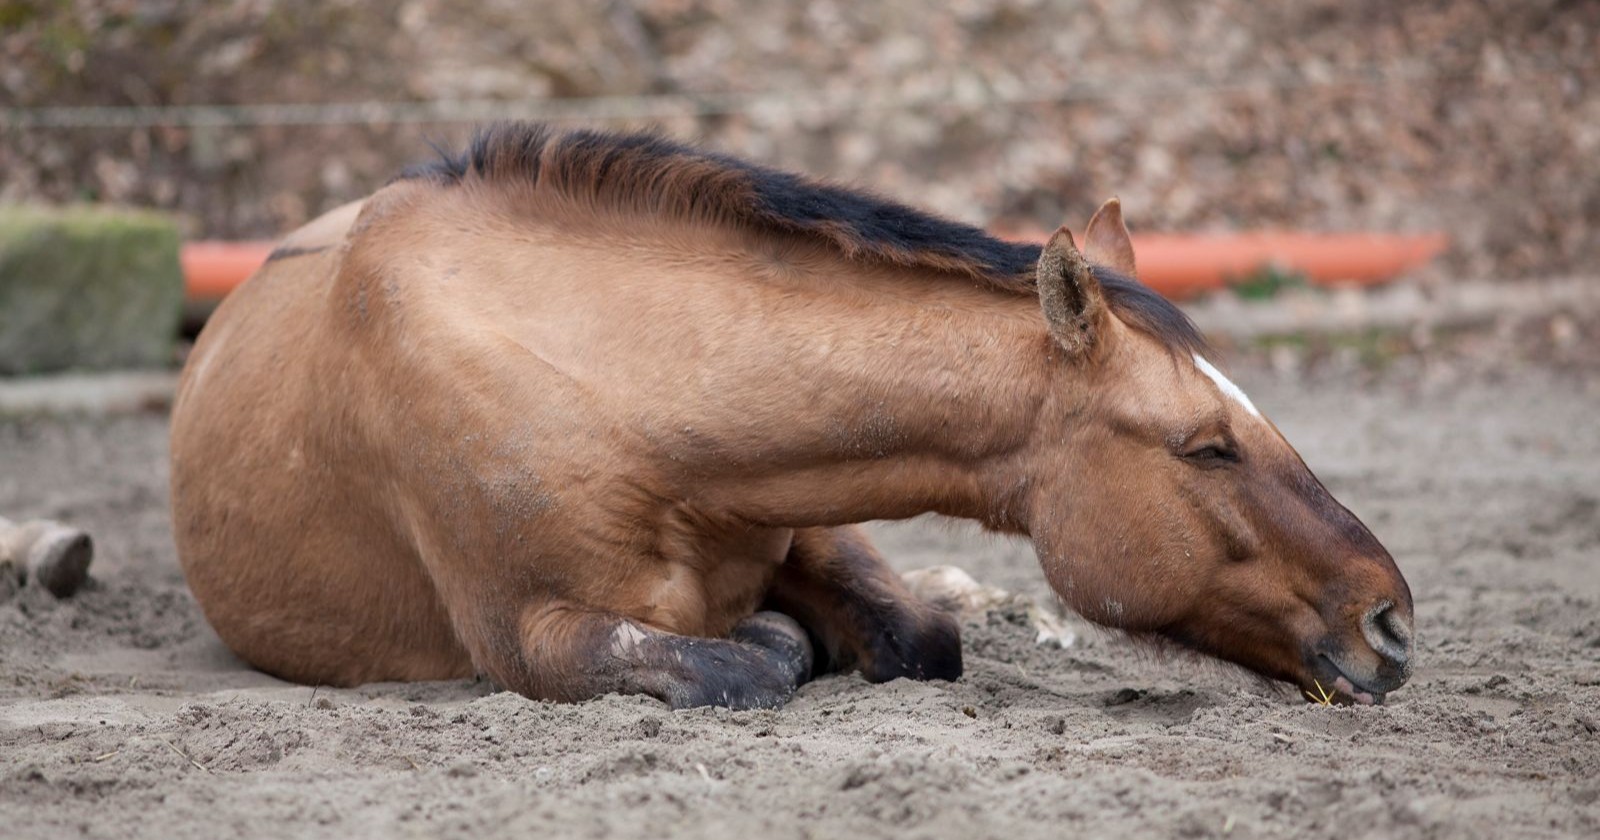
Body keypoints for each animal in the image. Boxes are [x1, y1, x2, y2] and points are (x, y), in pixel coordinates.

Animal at [169, 123, 1413, 709]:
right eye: (1205, 446)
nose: (1391, 622)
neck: (614, 388)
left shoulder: (811, 511)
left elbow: (920, 635)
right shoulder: (530, 636)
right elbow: (743, 663)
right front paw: (778, 641)